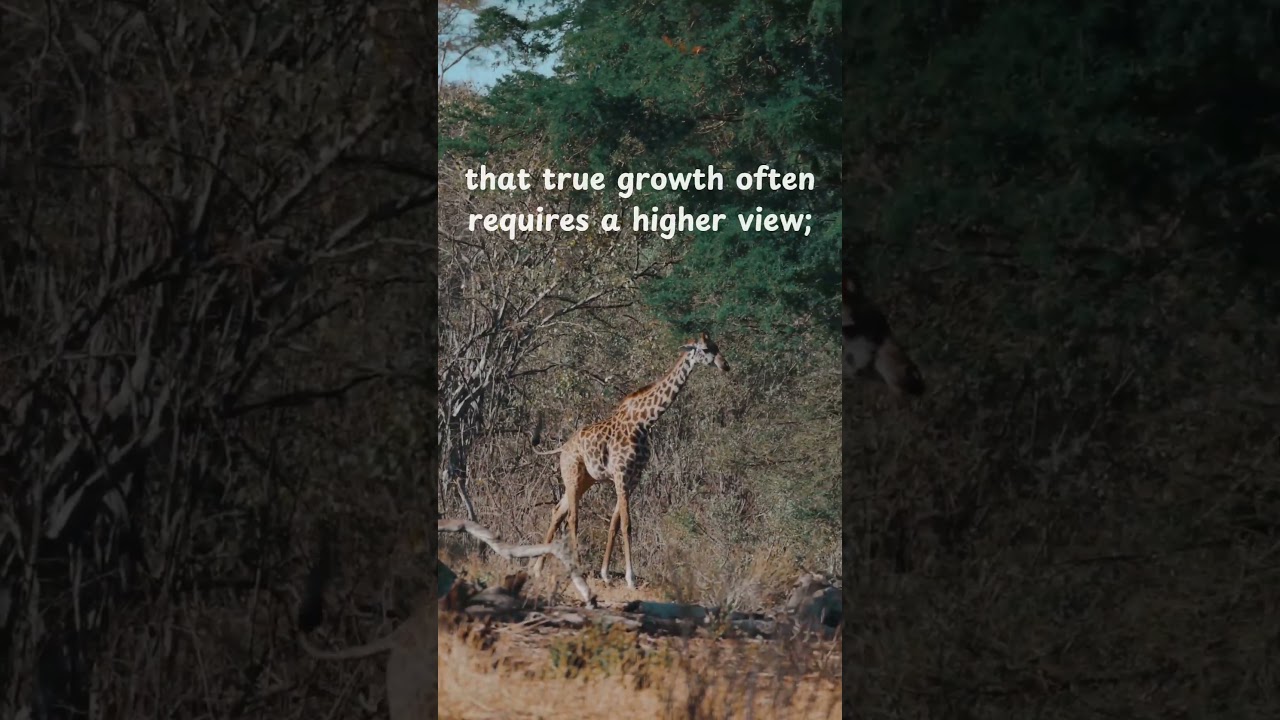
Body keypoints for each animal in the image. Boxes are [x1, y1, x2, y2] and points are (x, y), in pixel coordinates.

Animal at [530, 333, 730, 589]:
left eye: (717, 346)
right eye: (705, 349)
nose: (725, 365)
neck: (645, 421)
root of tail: (563, 447)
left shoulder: (633, 478)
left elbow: (615, 523)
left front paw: (605, 573)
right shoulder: (621, 475)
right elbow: (627, 524)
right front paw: (630, 578)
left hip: (585, 480)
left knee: (557, 511)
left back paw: (538, 568)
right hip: (572, 474)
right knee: (573, 517)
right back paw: (576, 567)